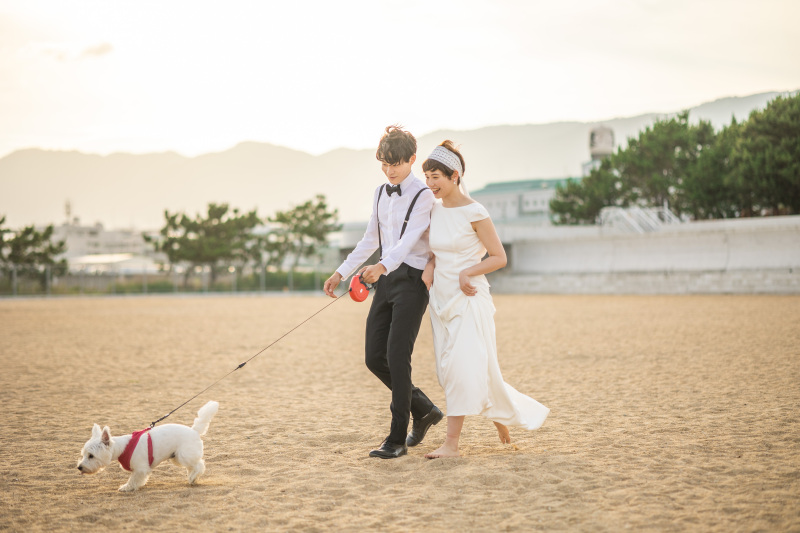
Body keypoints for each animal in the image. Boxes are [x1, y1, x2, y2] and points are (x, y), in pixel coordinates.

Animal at [77, 400, 219, 490]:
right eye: (83, 454)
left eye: (91, 456)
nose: (79, 467)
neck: (122, 448)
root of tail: (194, 430)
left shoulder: (140, 469)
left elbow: (133, 479)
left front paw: (126, 487)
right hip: (177, 457)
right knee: (193, 467)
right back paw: (192, 478)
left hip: (184, 456)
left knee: (199, 465)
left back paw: (193, 477)